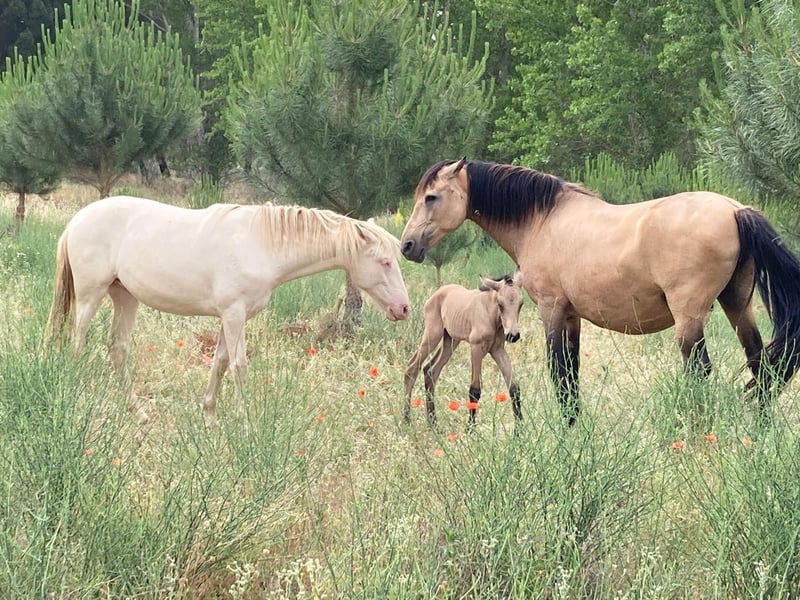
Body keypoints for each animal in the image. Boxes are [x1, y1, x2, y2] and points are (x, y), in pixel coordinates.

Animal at [47, 196, 410, 416]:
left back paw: (138, 411)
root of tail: (77, 220)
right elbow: (239, 367)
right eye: (384, 261)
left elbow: (220, 363)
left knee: (117, 348)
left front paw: (209, 415)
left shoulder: (230, 316)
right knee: (78, 342)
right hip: (91, 295)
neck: (261, 244)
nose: (404, 308)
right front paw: (244, 425)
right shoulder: (235, 314)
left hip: (125, 296)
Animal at [404, 272, 524, 427]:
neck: (490, 315)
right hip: (432, 335)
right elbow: (475, 390)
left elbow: (514, 388)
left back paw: (433, 422)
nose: (513, 335)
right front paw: (470, 428)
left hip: (451, 340)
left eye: (521, 304)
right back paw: (406, 419)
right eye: (500, 304)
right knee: (412, 367)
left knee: (430, 370)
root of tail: (436, 293)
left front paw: (520, 428)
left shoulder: (498, 350)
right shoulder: (476, 348)